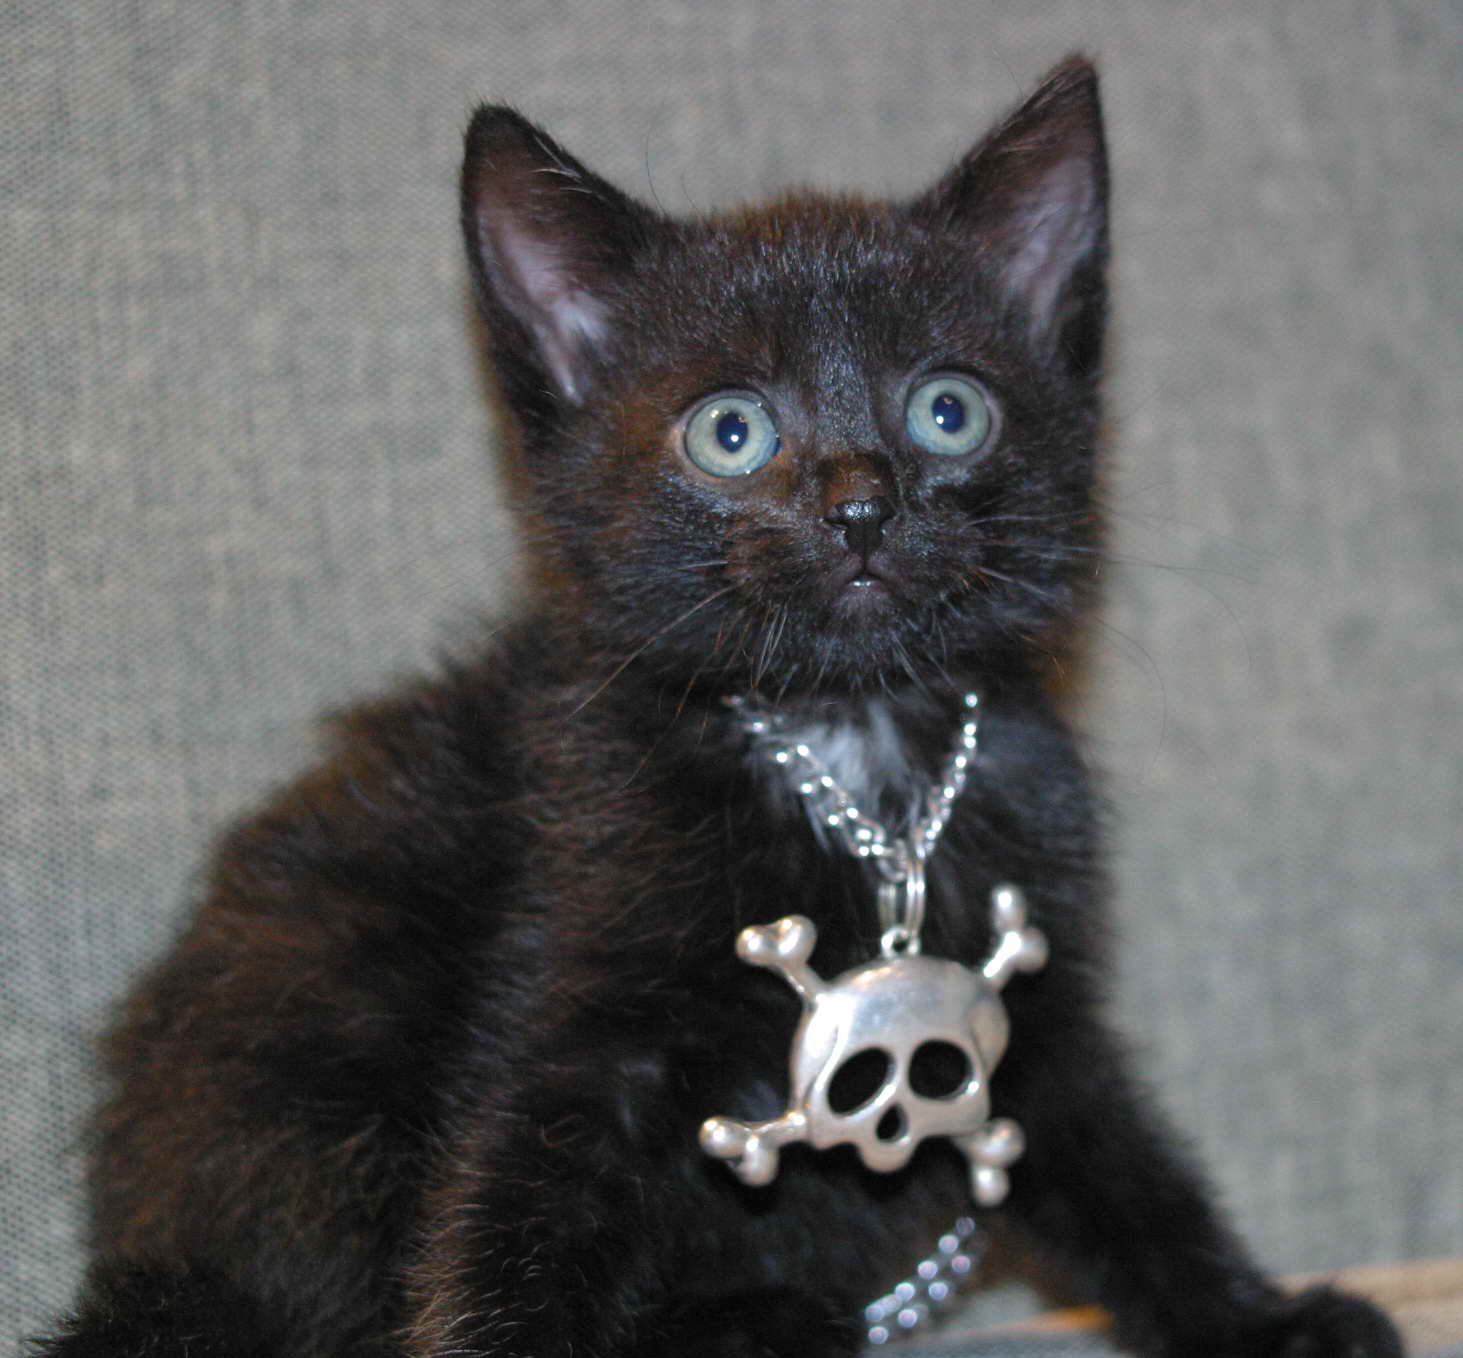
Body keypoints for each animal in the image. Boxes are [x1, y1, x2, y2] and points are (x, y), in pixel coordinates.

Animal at [35, 56, 1403, 1358]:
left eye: (948, 410)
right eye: (730, 433)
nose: (861, 504)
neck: (853, 747)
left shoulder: (1030, 990)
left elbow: (1121, 1166)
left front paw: (1255, 1313)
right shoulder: (578, 980)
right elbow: (519, 1206)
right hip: (309, 1020)